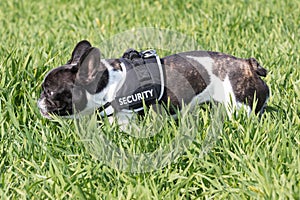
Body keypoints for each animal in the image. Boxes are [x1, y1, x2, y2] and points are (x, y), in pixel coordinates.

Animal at [37, 40, 270, 122]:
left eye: (49, 92)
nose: (38, 101)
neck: (106, 83)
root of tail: (248, 64)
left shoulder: (128, 116)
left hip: (239, 104)